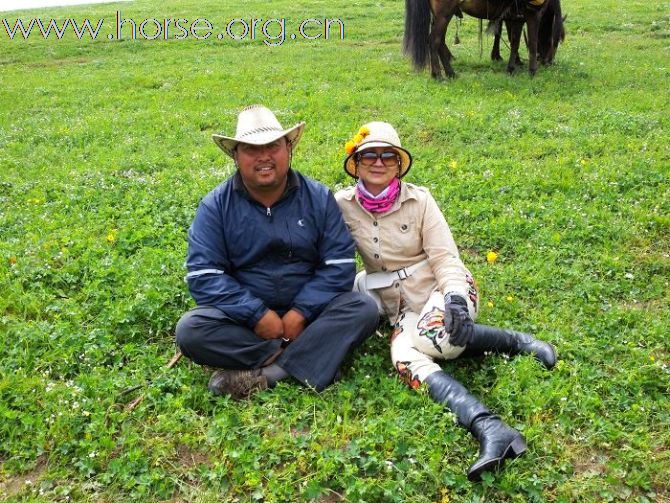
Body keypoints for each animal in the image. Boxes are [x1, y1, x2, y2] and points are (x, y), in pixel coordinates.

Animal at [404, 0, 568, 79]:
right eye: (556, 42)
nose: (548, 62)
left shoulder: (516, 18)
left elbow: (514, 42)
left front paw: (511, 68)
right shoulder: (533, 15)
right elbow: (532, 44)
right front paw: (532, 72)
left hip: (442, 16)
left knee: (440, 42)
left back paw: (451, 73)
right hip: (444, 14)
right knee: (434, 41)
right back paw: (438, 75)